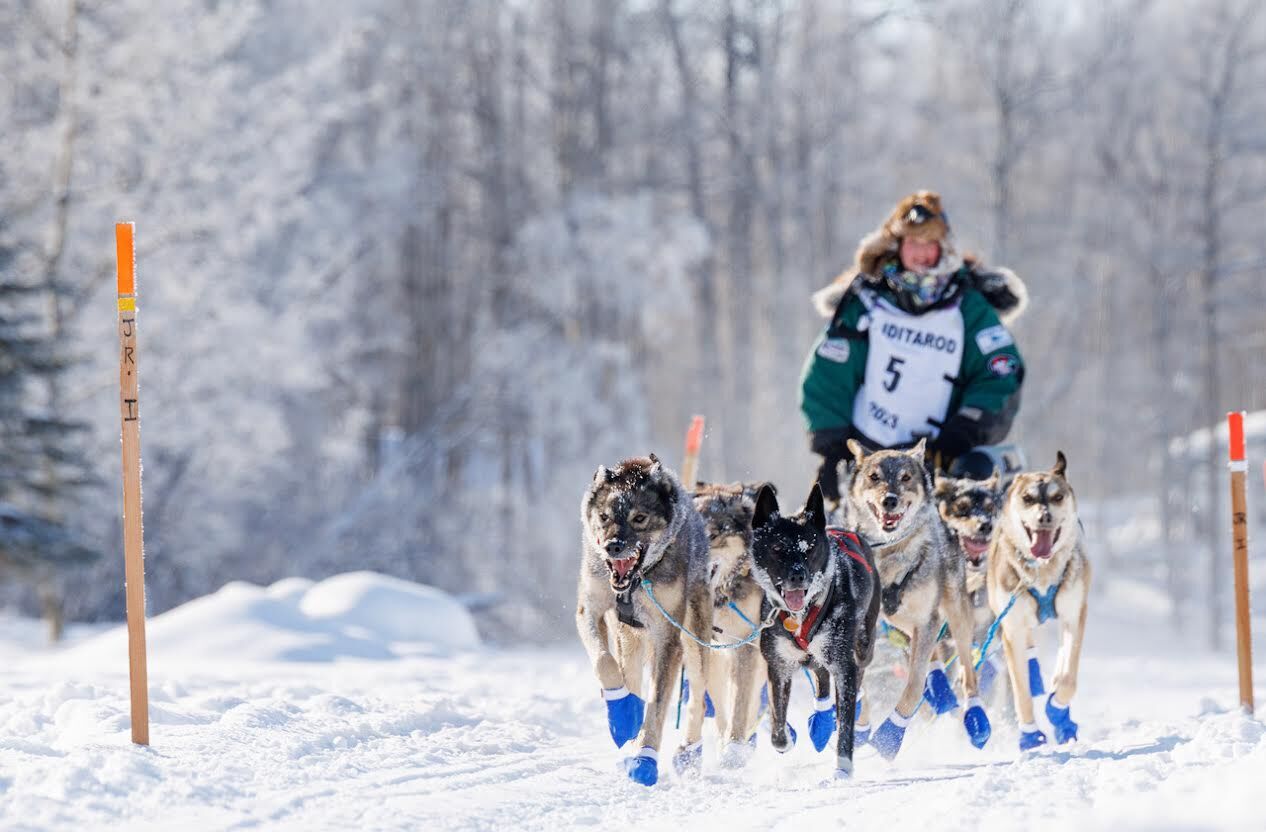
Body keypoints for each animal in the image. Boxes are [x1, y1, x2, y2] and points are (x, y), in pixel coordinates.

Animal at [579, 453, 719, 785]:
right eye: (604, 517)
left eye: (639, 518)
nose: (613, 546)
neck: (635, 581)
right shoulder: (590, 608)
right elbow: (603, 661)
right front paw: (622, 714)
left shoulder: (668, 637)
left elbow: (656, 705)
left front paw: (645, 759)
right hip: (629, 640)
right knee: (627, 674)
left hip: (693, 637)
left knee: (697, 694)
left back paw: (689, 751)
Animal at [744, 481, 876, 780]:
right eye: (778, 547)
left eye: (810, 546)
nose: (798, 575)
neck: (800, 615)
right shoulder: (778, 665)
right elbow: (777, 727)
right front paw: (788, 739)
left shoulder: (843, 664)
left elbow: (846, 723)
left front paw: (843, 767)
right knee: (820, 675)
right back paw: (821, 722)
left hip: (862, 645)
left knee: (855, 673)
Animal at [845, 440, 992, 759]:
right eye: (874, 476)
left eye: (905, 477)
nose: (889, 500)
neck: (888, 556)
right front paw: (859, 726)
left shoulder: (927, 620)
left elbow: (913, 686)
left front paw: (890, 735)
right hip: (899, 624)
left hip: (954, 613)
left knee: (966, 671)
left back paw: (975, 717)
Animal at [982, 450, 1093, 749]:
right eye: (1028, 498)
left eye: (1057, 497)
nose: (1044, 517)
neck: (1042, 573)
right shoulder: (1012, 628)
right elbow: (1021, 691)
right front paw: (1030, 736)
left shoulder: (1074, 615)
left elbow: (1068, 679)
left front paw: (1057, 710)